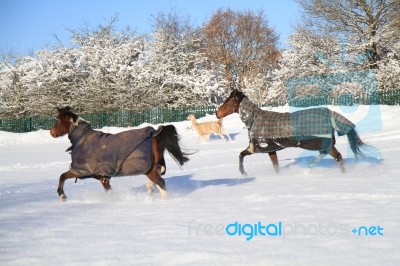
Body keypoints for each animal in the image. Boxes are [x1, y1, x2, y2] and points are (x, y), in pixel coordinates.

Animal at [50, 107, 191, 201]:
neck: (82, 138)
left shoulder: (84, 171)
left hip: (150, 170)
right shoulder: (100, 175)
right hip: (154, 167)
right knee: (156, 181)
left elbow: (62, 176)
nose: (51, 133)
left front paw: (62, 195)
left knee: (161, 183)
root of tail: (154, 134)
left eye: (57, 120)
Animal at [217, 89, 368, 175]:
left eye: (228, 101)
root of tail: (330, 113)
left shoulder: (259, 147)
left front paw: (243, 173)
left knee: (337, 157)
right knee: (326, 154)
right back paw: (309, 167)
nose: (217, 114)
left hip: (321, 142)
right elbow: (275, 166)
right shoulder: (271, 149)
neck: (254, 119)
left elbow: (241, 155)